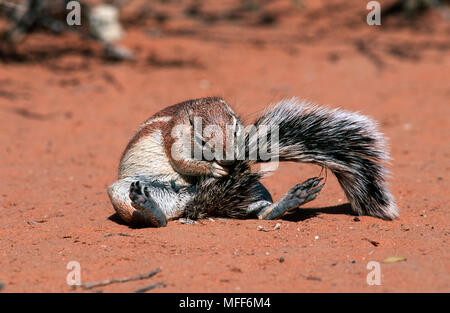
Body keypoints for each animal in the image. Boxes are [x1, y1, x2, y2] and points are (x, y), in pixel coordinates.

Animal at [106, 96, 398, 225]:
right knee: (153, 218)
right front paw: (212, 167)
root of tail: (190, 204)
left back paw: (291, 200)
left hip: (257, 189)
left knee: (260, 212)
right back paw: (150, 208)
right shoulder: (173, 138)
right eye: (202, 139)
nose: (230, 159)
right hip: (124, 190)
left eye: (237, 130)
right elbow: (182, 162)